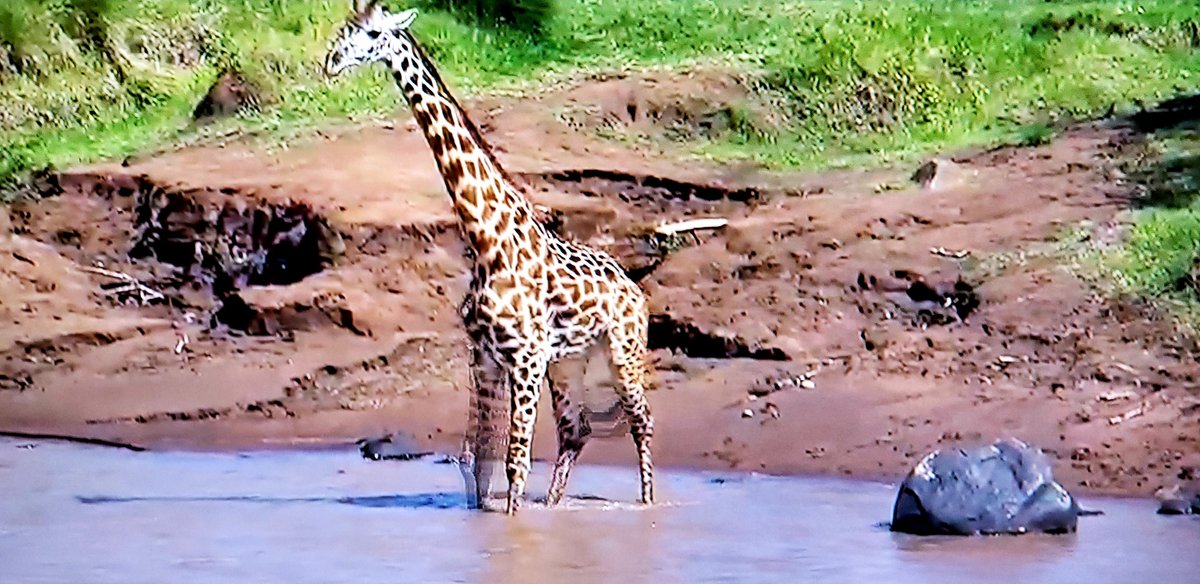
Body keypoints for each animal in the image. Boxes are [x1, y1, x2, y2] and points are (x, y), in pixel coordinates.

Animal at [324, 1, 655, 515]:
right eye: (344, 29)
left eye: (374, 33)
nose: (332, 62)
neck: (484, 240)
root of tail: (634, 287)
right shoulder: (485, 357)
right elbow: (478, 464)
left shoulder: (525, 358)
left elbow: (515, 461)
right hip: (569, 361)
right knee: (575, 430)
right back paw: (554, 507)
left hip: (623, 348)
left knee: (642, 422)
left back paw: (648, 504)